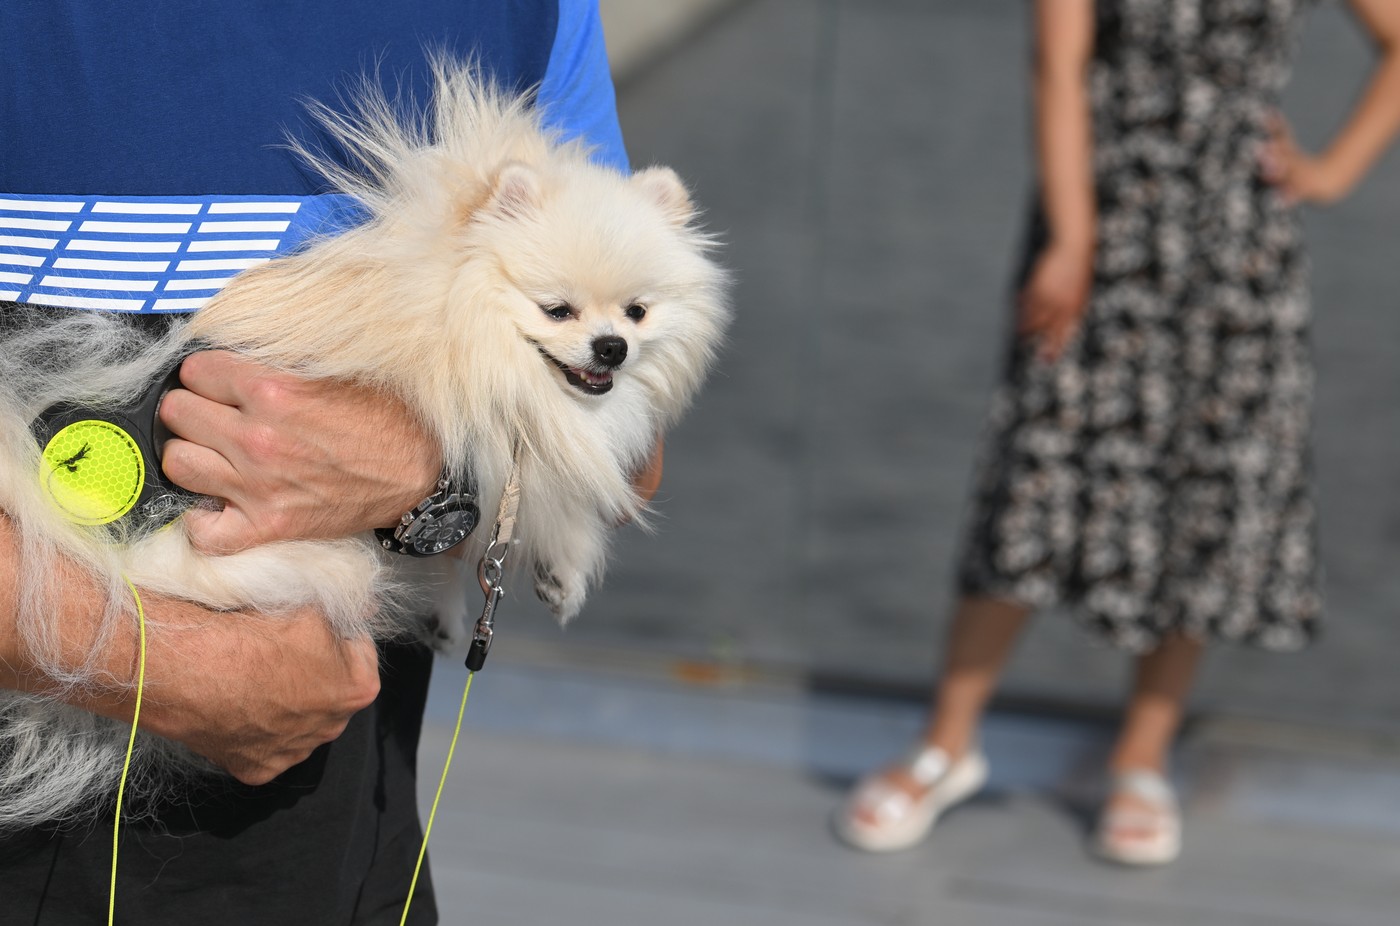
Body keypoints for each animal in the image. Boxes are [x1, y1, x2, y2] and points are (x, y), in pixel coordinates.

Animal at [2, 61, 733, 829]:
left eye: (638, 311)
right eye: (556, 309)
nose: (611, 347)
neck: (459, 302)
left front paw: (505, 589)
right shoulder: (497, 430)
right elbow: (536, 500)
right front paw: (553, 563)